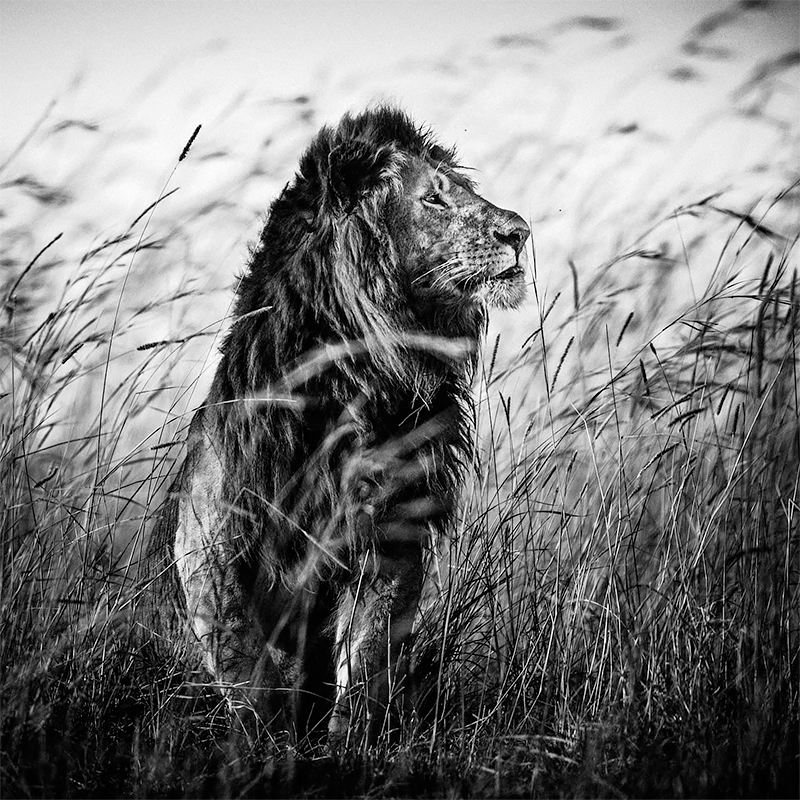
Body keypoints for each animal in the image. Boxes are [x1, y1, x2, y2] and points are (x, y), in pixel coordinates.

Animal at [147, 106, 528, 752]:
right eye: (433, 198)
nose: (521, 232)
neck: (360, 380)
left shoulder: (389, 537)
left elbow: (366, 658)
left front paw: (346, 747)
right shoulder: (211, 538)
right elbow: (247, 663)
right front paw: (266, 748)